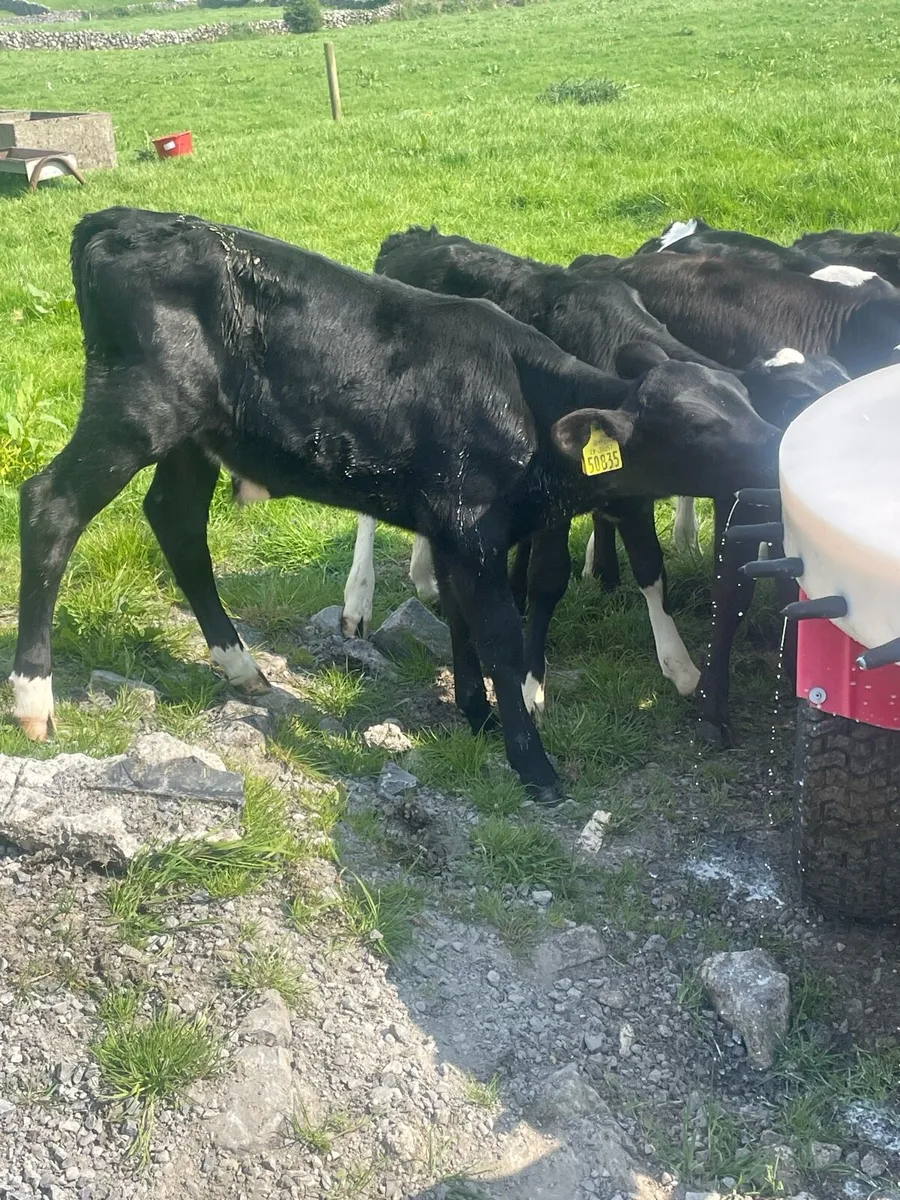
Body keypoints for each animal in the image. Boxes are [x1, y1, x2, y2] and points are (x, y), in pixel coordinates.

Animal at [10, 207, 781, 806]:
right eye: (702, 428)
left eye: (744, 402)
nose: (782, 445)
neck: (522, 400)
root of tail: (119, 220)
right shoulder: (471, 526)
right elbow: (500, 637)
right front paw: (531, 762)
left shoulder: (459, 532)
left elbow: (463, 622)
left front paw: (474, 715)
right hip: (135, 413)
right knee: (51, 505)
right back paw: (33, 699)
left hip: (194, 438)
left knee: (175, 520)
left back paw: (240, 667)